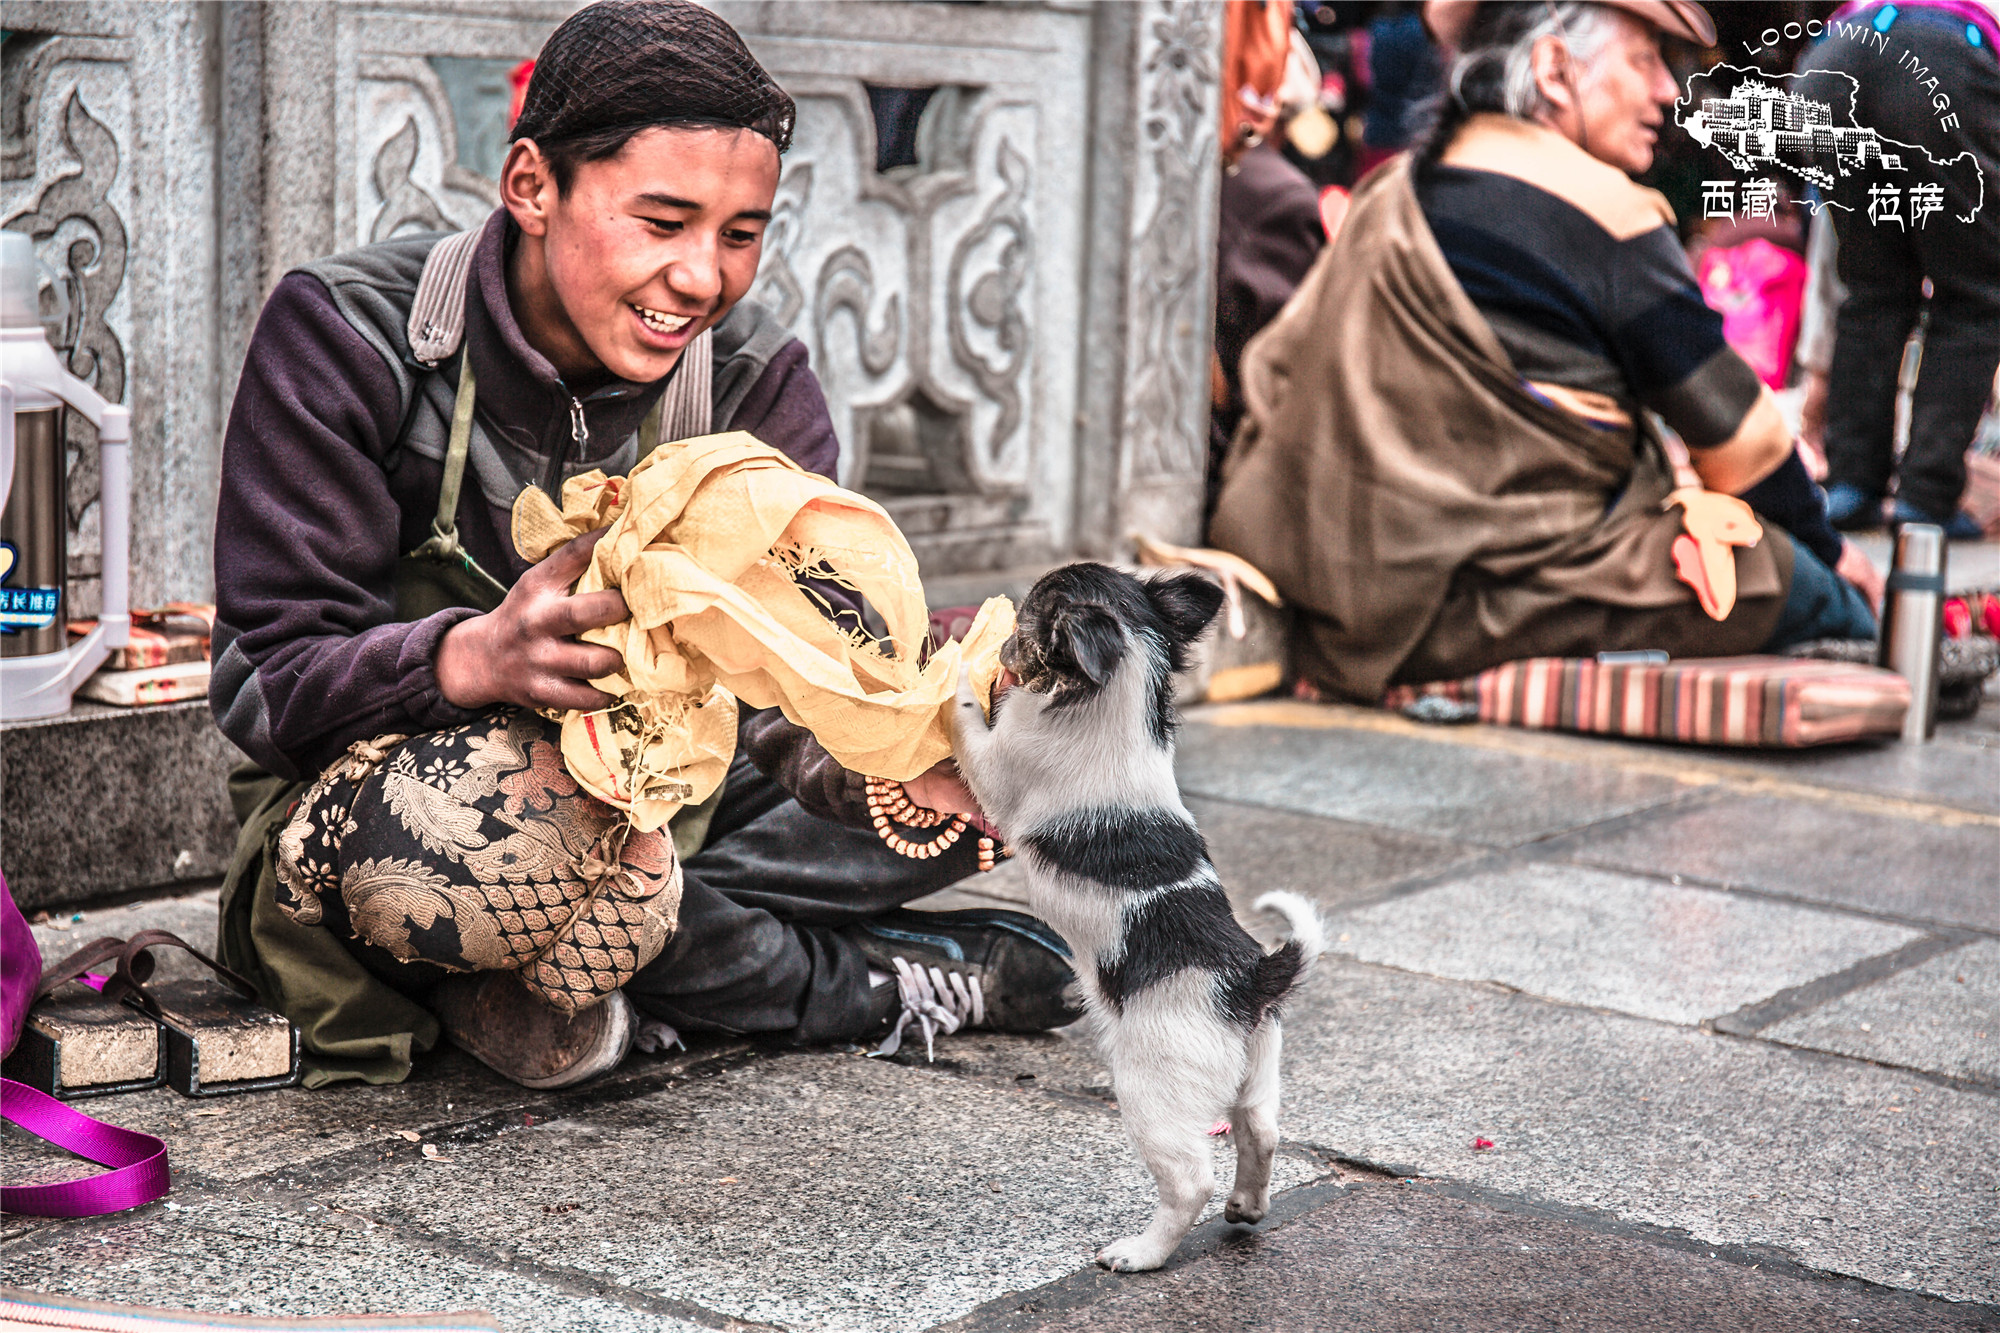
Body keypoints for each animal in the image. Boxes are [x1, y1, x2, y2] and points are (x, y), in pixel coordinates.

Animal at [944, 556, 1320, 1264]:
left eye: (1027, 627)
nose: (1002, 646)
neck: (1112, 699)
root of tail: (1251, 979)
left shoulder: (996, 764)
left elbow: (966, 716)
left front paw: (955, 662)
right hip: (1258, 1071)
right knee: (1261, 1132)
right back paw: (1247, 1205)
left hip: (1151, 1092)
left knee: (1190, 1180)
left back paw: (1141, 1253)